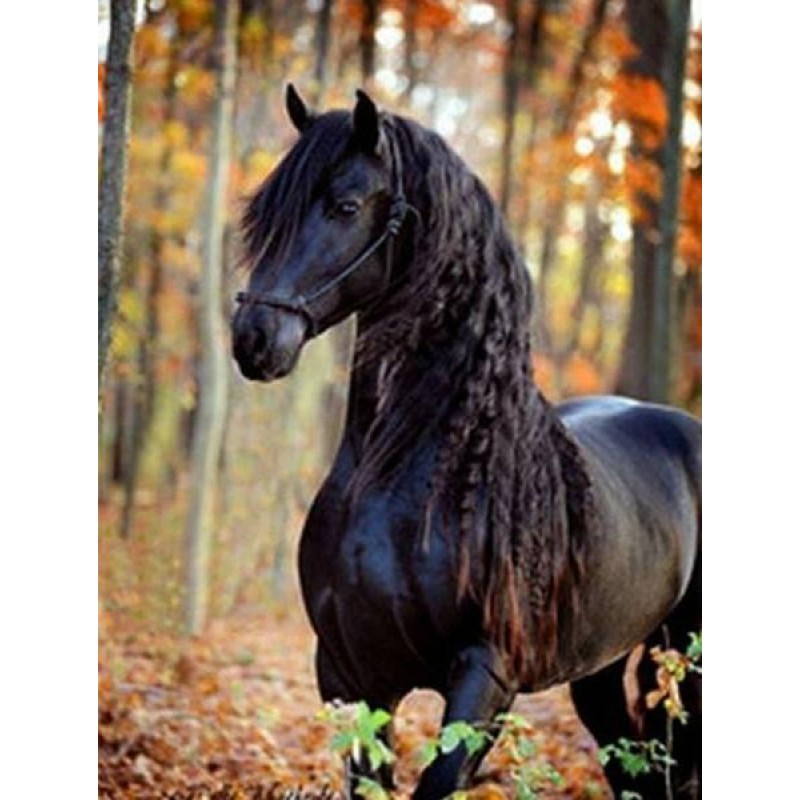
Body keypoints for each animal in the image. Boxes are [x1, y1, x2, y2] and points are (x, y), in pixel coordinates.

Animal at [231, 85, 701, 799]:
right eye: (263, 212)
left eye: (346, 205)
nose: (253, 339)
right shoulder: (349, 676)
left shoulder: (486, 677)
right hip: (599, 668)